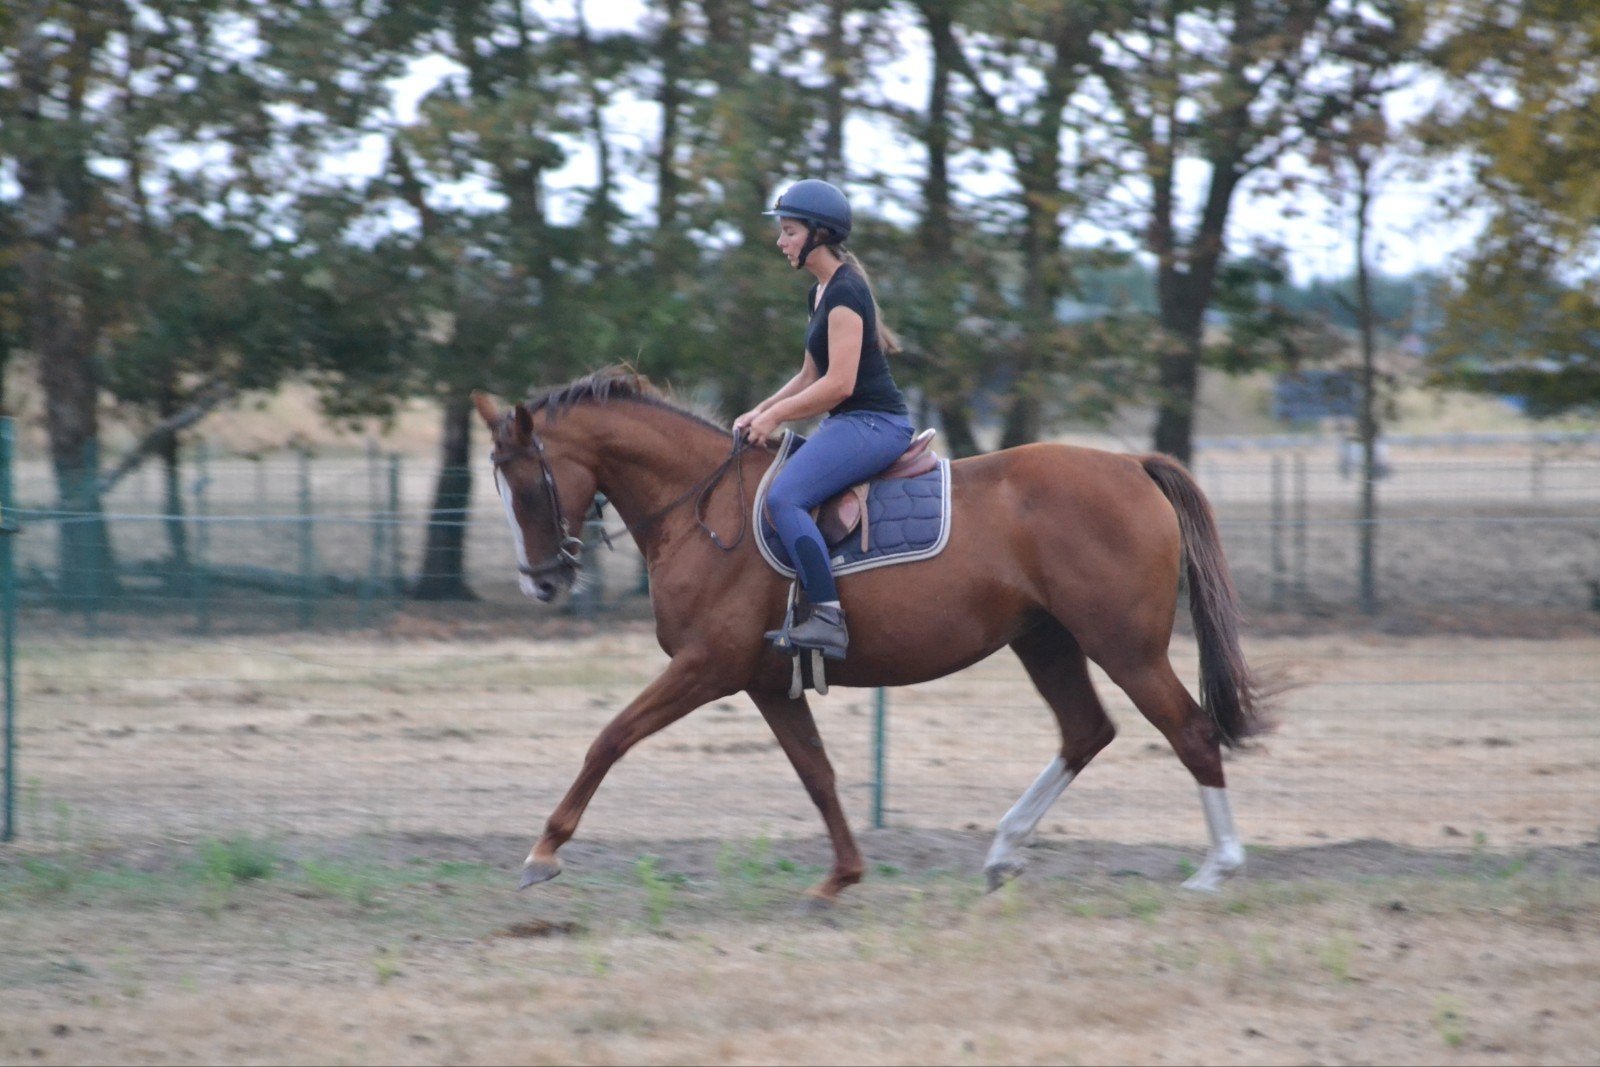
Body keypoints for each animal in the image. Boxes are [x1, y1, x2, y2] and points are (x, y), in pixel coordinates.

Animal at [473, 366, 1266, 903]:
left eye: (528, 485)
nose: (540, 581)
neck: (704, 507)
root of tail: (1130, 464)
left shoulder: (706, 668)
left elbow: (609, 738)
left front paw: (544, 850)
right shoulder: (768, 683)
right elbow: (818, 774)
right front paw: (843, 876)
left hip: (1125, 647)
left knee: (1191, 732)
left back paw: (1217, 868)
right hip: (1045, 640)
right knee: (1085, 731)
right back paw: (1004, 851)